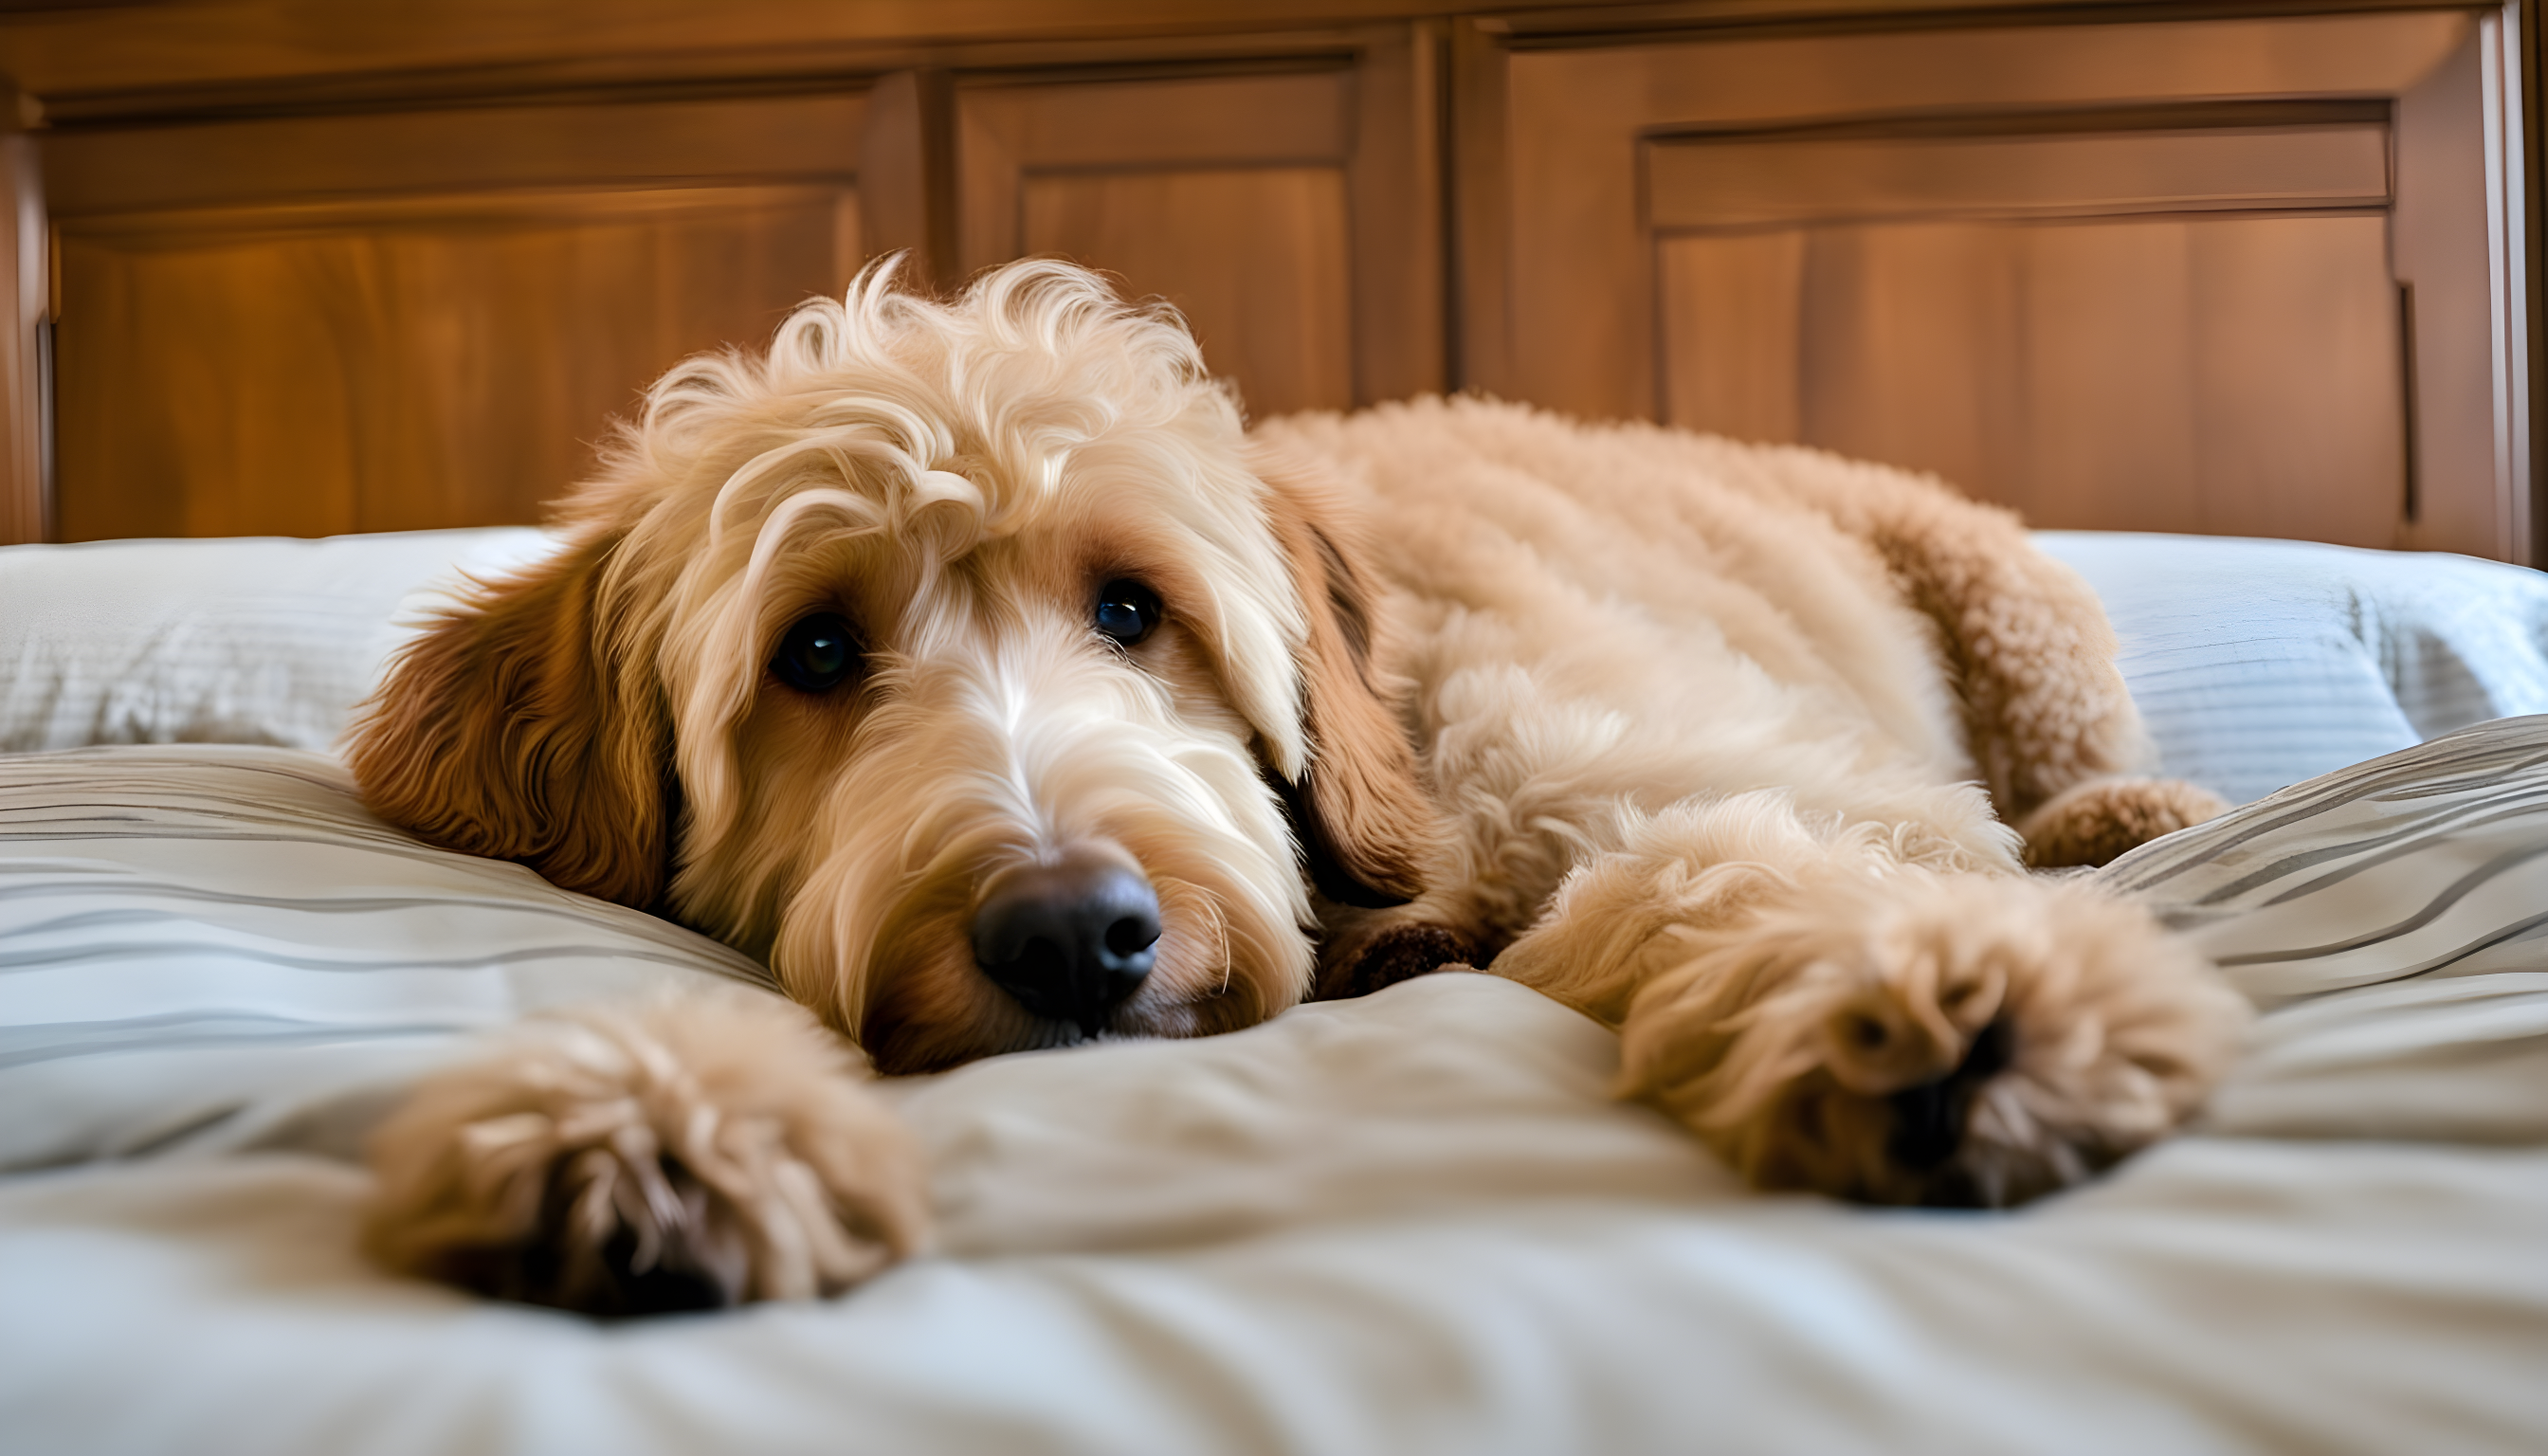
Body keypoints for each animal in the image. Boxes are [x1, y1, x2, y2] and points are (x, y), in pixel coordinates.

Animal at [343, 256, 2252, 1316]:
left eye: (1133, 607)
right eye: (812, 651)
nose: (1070, 935)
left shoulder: (1655, 762)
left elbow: (1737, 860)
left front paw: (1929, 998)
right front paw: (646, 1120)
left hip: (2006, 596)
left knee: (2068, 761)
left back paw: (2131, 821)